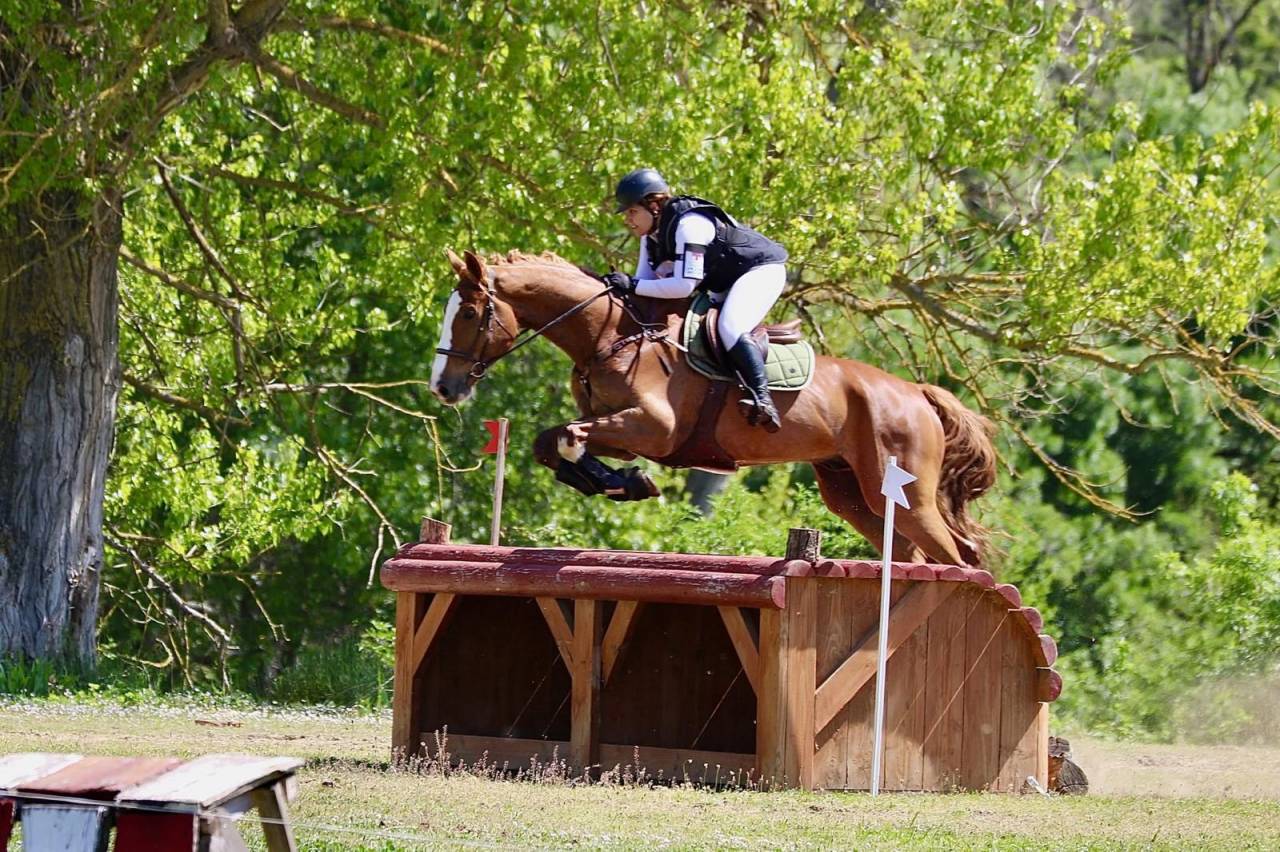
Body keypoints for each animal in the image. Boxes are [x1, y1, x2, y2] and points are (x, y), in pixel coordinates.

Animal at [431, 249, 997, 566]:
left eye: (472, 313)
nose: (443, 387)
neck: (610, 337)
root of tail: (916, 392)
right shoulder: (618, 429)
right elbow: (552, 443)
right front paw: (619, 482)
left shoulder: (653, 429)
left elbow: (568, 437)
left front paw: (627, 482)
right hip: (856, 495)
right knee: (910, 552)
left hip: (908, 493)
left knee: (959, 556)